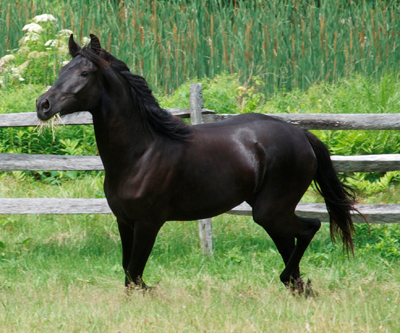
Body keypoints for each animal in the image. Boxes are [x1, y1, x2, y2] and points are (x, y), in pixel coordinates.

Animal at [37, 34, 360, 290]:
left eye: (85, 72)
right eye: (62, 70)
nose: (43, 105)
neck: (141, 154)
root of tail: (301, 134)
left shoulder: (148, 223)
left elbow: (135, 276)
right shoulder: (124, 221)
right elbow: (129, 276)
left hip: (271, 210)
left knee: (309, 228)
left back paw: (290, 280)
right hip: (270, 212)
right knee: (292, 250)